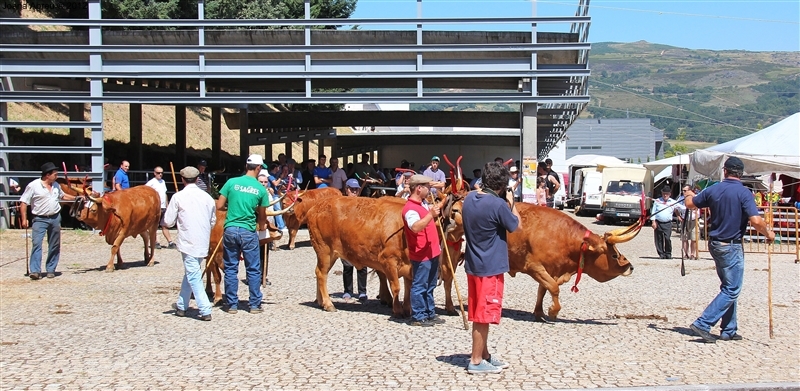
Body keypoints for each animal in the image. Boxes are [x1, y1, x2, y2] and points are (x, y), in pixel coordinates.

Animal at [444, 201, 636, 320]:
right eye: (613, 255)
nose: (630, 267)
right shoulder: (534, 266)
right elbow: (554, 288)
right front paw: (552, 312)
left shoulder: (550, 269)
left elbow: (543, 290)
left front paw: (539, 312)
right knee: (447, 279)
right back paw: (451, 307)